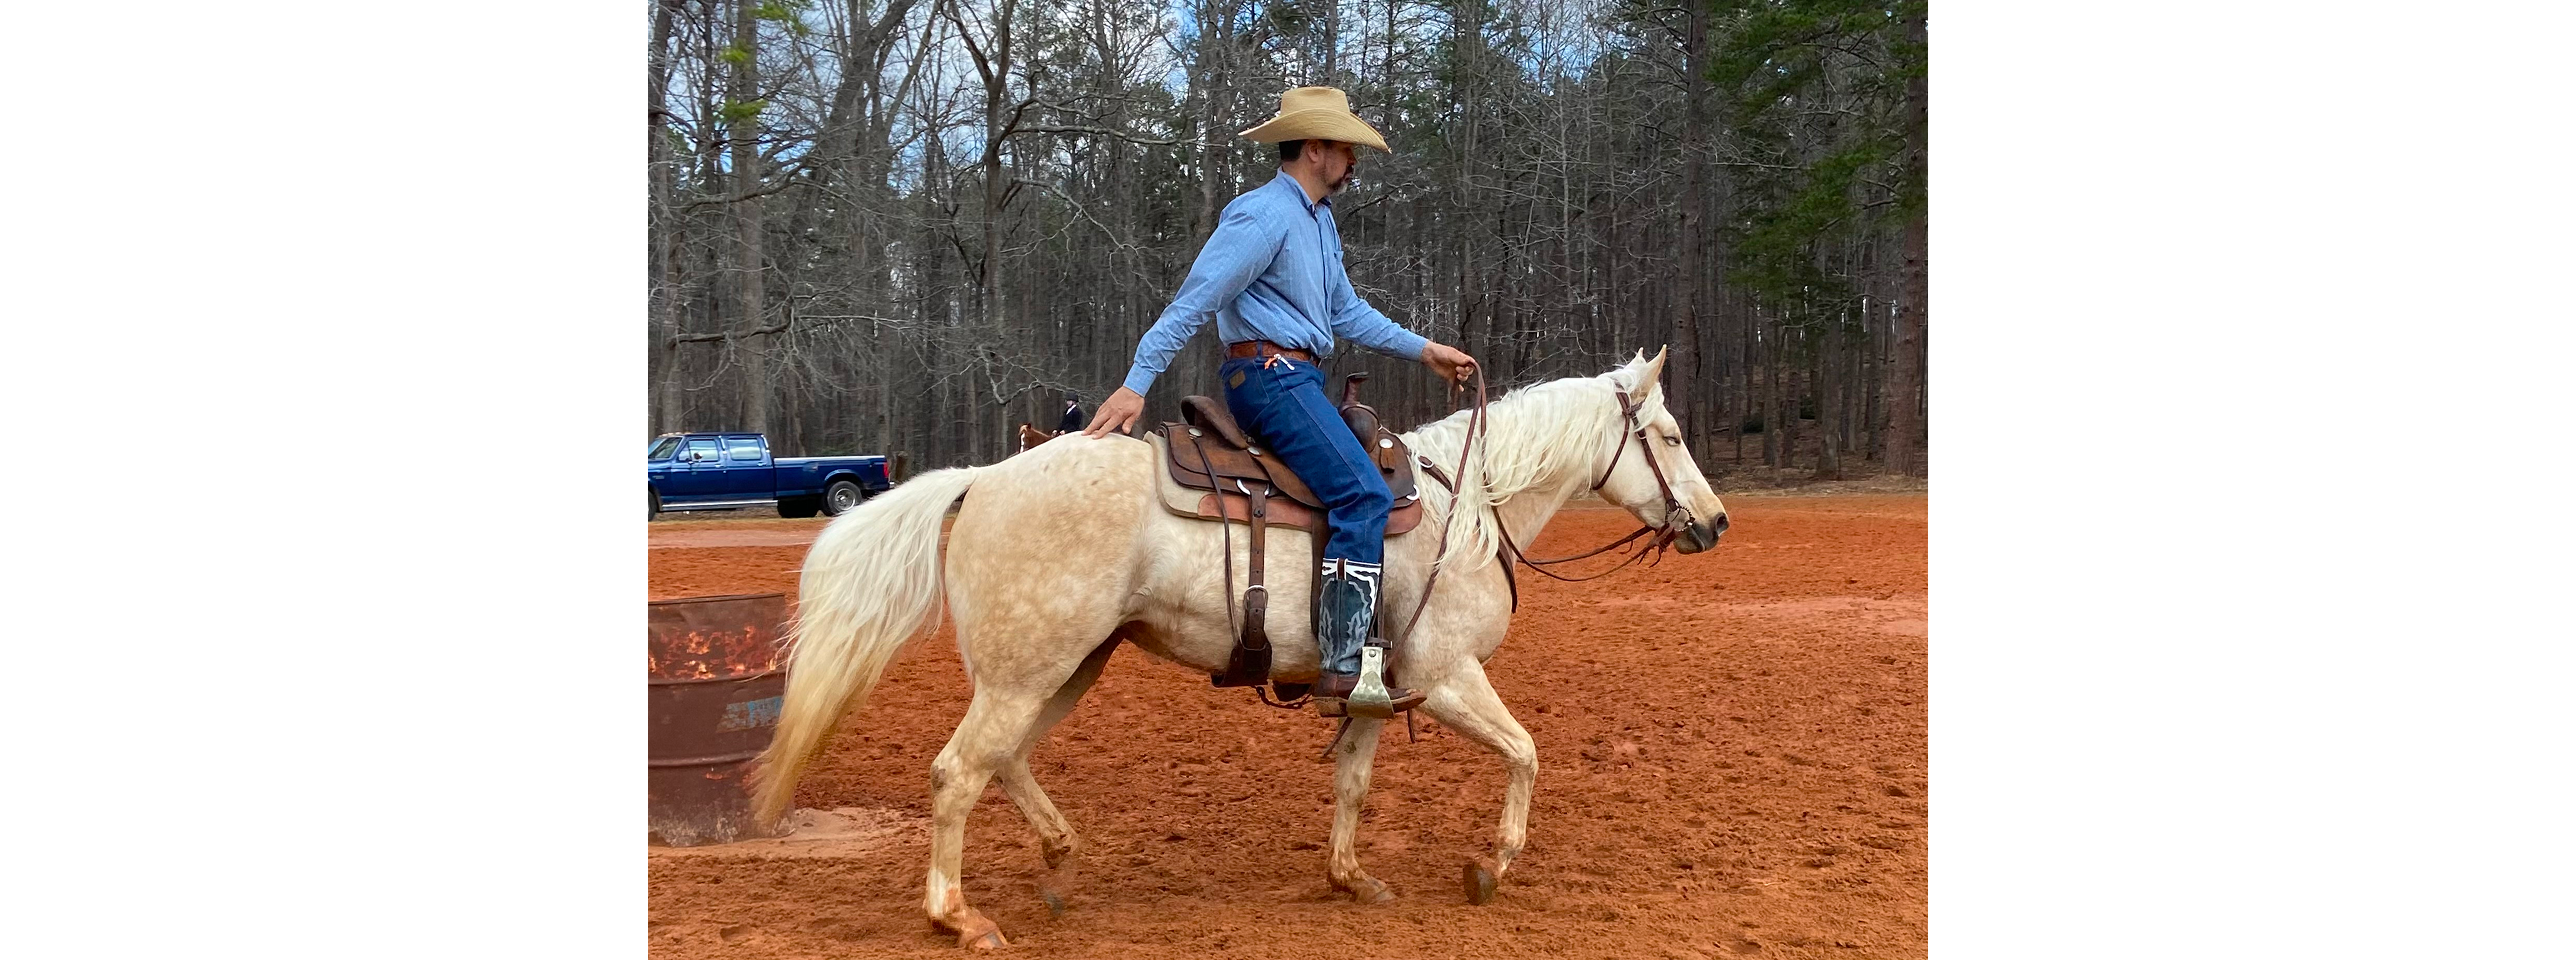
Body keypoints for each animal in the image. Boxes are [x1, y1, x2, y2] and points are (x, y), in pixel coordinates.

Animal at [752, 348, 1729, 948]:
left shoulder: (1377, 688)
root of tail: (984, 478)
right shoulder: (1449, 676)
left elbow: (1354, 782)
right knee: (958, 773)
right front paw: (1491, 865)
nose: (1715, 523)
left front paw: (1350, 879)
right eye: (1671, 435)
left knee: (1007, 761)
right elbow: (1526, 752)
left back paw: (1060, 860)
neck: (1470, 509)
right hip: (1028, 671)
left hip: (1063, 668)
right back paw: (958, 916)